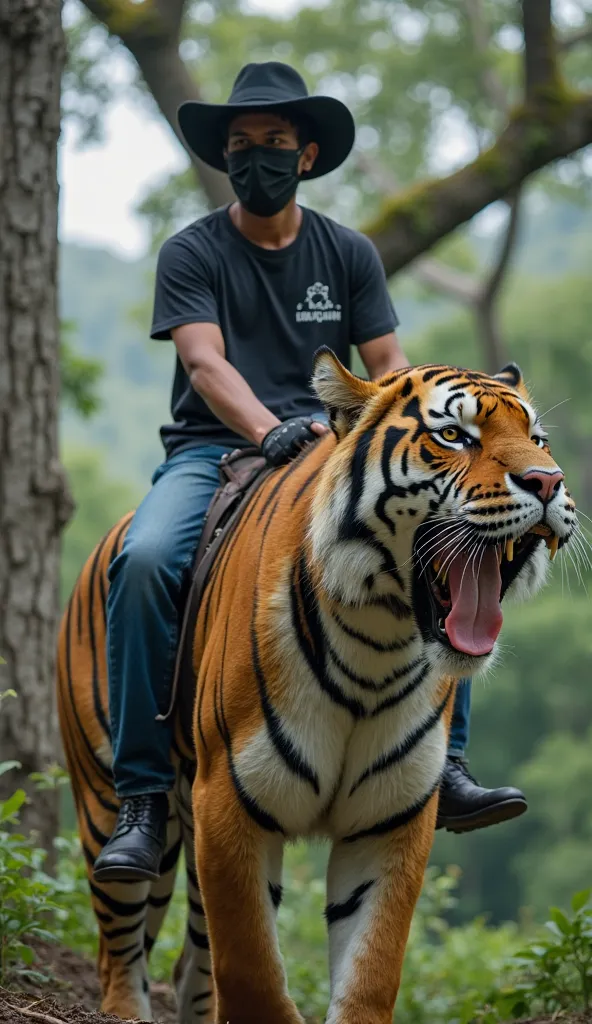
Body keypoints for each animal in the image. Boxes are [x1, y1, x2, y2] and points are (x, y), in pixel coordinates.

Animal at [57, 350, 573, 1024]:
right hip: (108, 804)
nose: (549, 482)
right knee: (120, 944)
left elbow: (370, 973)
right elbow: (252, 971)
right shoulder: (229, 801)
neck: (378, 642)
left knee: (188, 963)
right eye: (455, 436)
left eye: (538, 440)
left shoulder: (389, 822)